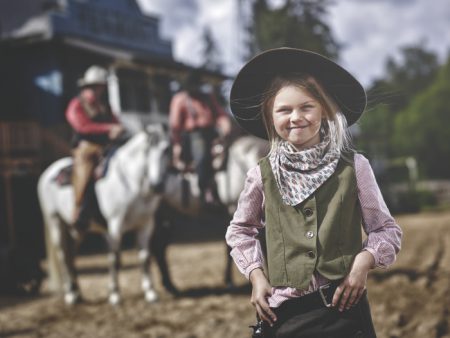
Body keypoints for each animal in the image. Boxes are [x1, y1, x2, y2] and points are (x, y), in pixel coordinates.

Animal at [37, 124, 170, 304]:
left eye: (167, 149)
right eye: (147, 150)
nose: (157, 185)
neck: (131, 183)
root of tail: (49, 172)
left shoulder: (145, 224)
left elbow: (144, 257)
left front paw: (150, 292)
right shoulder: (114, 225)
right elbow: (114, 258)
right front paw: (114, 294)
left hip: (77, 230)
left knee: (71, 255)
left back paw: (77, 292)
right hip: (55, 222)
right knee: (63, 255)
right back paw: (70, 294)